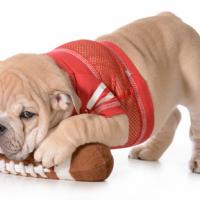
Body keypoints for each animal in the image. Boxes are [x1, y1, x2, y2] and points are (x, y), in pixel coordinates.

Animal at [0, 11, 199, 173]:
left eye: (27, 114)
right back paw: (149, 151)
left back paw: (196, 162)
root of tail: (174, 19)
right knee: (171, 117)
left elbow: (79, 122)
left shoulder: (119, 121)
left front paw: (51, 146)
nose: (0, 126)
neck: (63, 69)